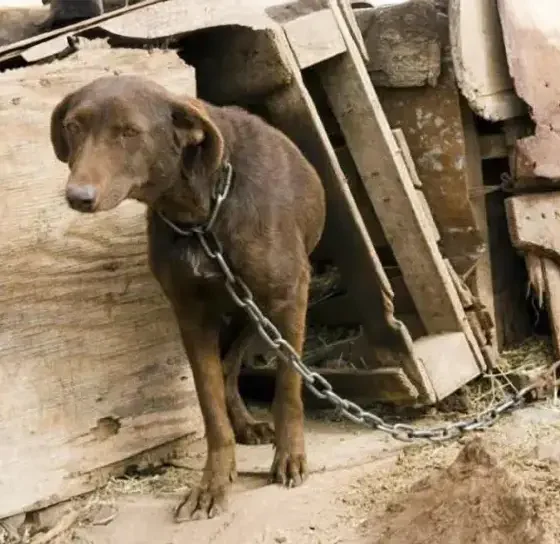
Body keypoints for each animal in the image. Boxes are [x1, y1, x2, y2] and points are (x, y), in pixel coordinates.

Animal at [50, 74, 326, 520]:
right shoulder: (191, 316)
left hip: (256, 314)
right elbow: (210, 405)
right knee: (228, 370)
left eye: (129, 132)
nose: (79, 196)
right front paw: (214, 483)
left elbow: (288, 387)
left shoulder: (289, 298)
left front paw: (289, 457)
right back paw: (244, 425)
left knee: (237, 364)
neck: (201, 214)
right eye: (74, 127)